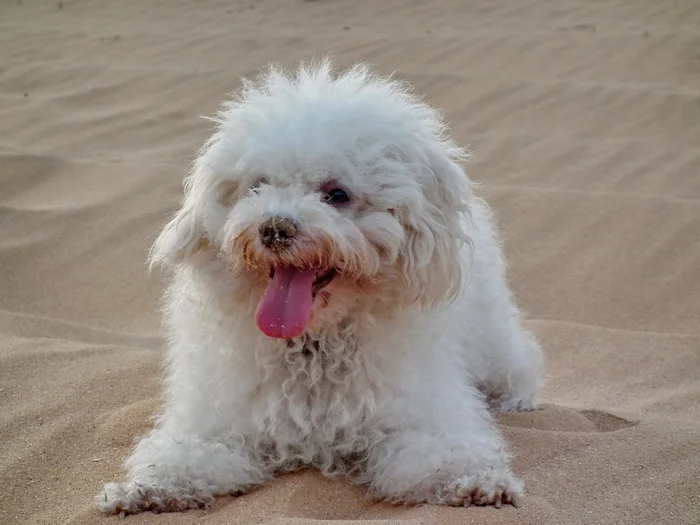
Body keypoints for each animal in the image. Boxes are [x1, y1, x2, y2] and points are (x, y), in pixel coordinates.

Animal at [98, 59, 544, 512]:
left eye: (337, 194)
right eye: (257, 185)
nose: (274, 228)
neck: (314, 345)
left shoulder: (420, 416)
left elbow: (444, 454)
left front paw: (476, 481)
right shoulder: (219, 421)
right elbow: (183, 457)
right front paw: (146, 488)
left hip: (493, 339)